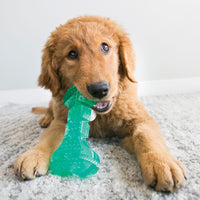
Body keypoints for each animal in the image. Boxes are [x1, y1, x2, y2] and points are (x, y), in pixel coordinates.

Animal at [13, 16, 186, 192]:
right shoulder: (62, 120)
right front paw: (34, 154)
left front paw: (162, 163)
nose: (99, 90)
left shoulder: (141, 117)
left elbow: (146, 136)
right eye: (72, 54)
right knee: (50, 108)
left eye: (105, 47)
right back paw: (45, 119)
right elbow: (49, 136)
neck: (101, 115)